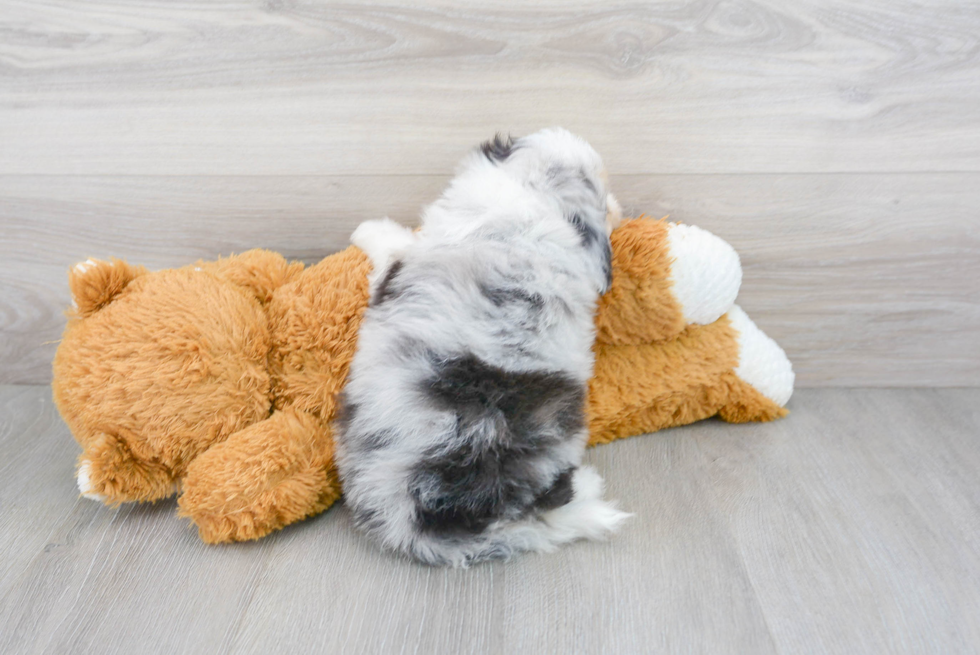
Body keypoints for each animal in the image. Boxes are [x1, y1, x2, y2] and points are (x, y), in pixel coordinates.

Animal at [336, 129, 628, 568]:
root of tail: (414, 525)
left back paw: (586, 486)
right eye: (603, 193)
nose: (619, 208)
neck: (530, 200)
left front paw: (367, 230)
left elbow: (394, 246)